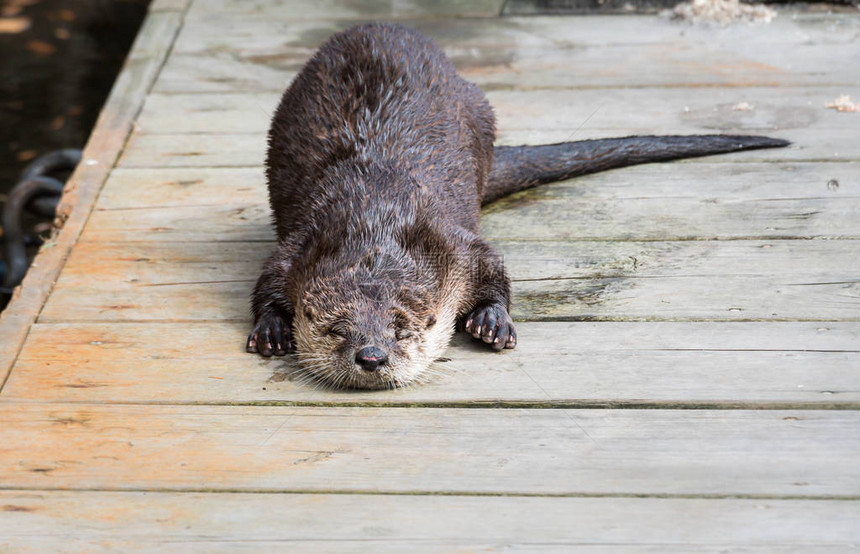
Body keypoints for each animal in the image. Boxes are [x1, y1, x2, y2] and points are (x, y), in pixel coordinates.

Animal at [245, 22, 788, 388]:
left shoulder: (452, 243)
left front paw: (492, 321)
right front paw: (273, 328)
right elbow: (270, 279)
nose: (372, 356)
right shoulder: (306, 243)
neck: (377, 218)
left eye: (401, 330)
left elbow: (494, 268)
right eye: (339, 329)